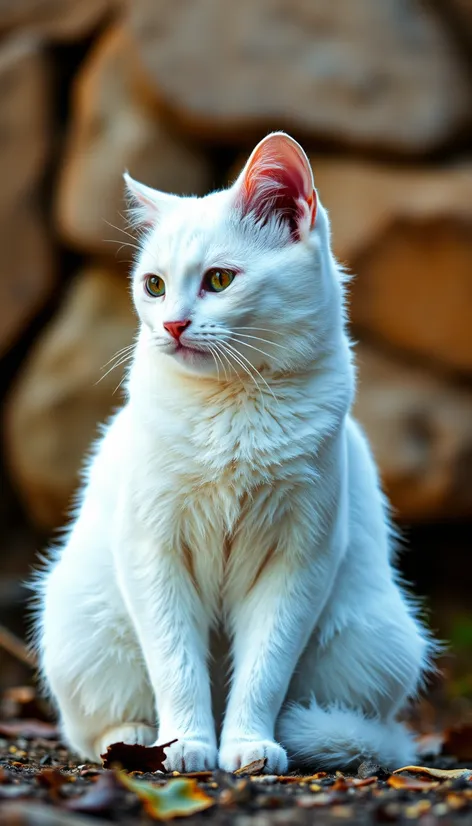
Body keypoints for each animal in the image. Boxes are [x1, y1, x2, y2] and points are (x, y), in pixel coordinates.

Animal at [33, 132, 432, 768]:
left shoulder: (298, 562)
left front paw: (247, 745)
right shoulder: (154, 554)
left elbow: (264, 669)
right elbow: (176, 665)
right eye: (153, 285)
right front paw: (187, 746)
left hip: (374, 636)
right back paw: (136, 741)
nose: (171, 325)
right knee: (88, 727)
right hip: (83, 627)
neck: (232, 408)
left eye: (219, 280)